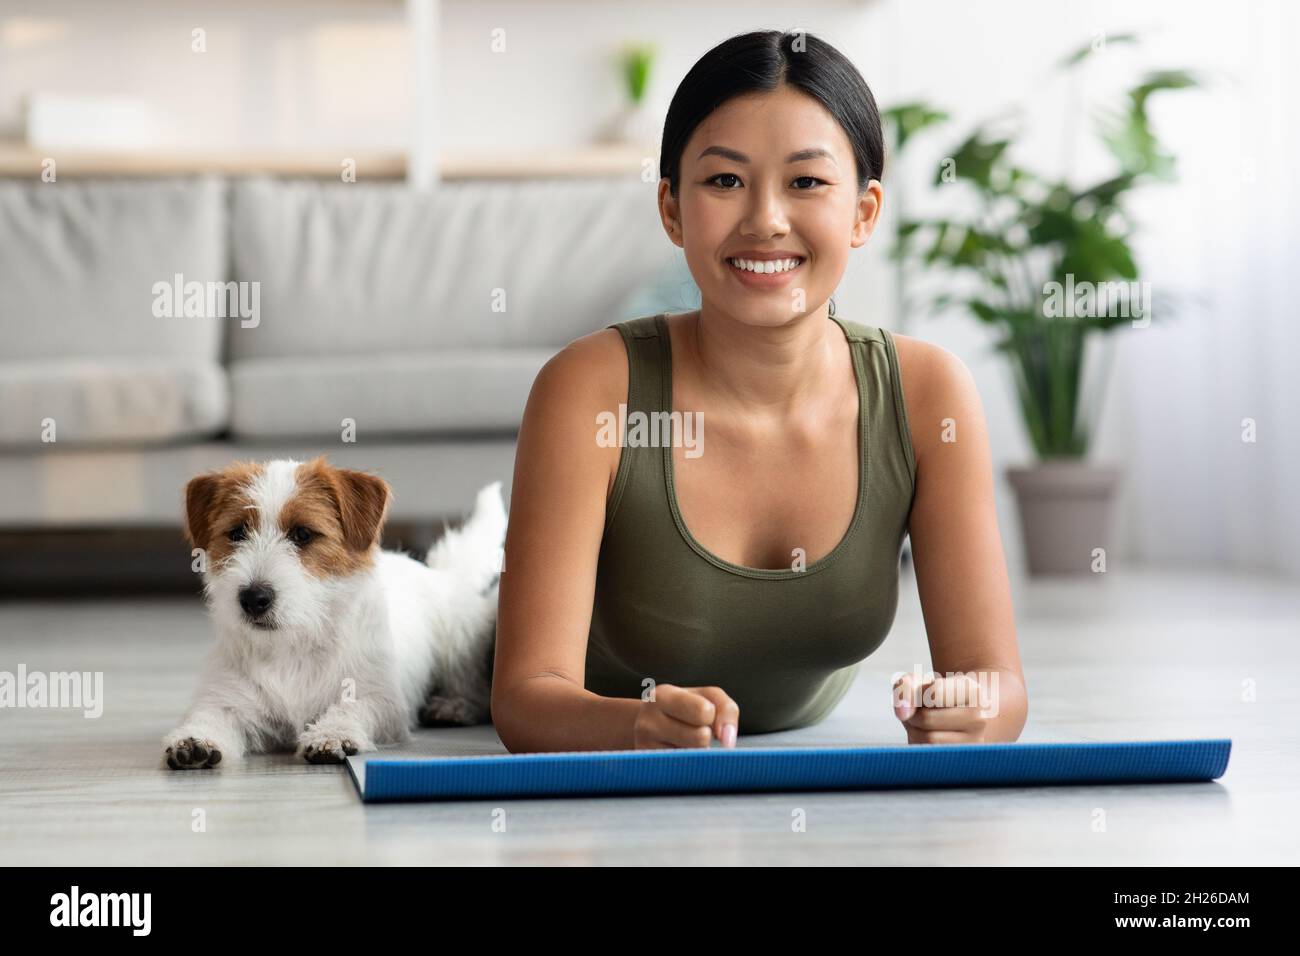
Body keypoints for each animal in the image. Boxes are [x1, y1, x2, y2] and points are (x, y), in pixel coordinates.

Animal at [161, 455, 501, 770]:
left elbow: (354, 707)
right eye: (236, 533)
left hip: (459, 638)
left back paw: (454, 706)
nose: (253, 598)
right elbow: (210, 714)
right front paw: (194, 739)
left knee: (473, 686)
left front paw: (332, 733)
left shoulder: (381, 699)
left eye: (302, 534)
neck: (293, 646)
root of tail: (440, 573)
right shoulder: (227, 698)